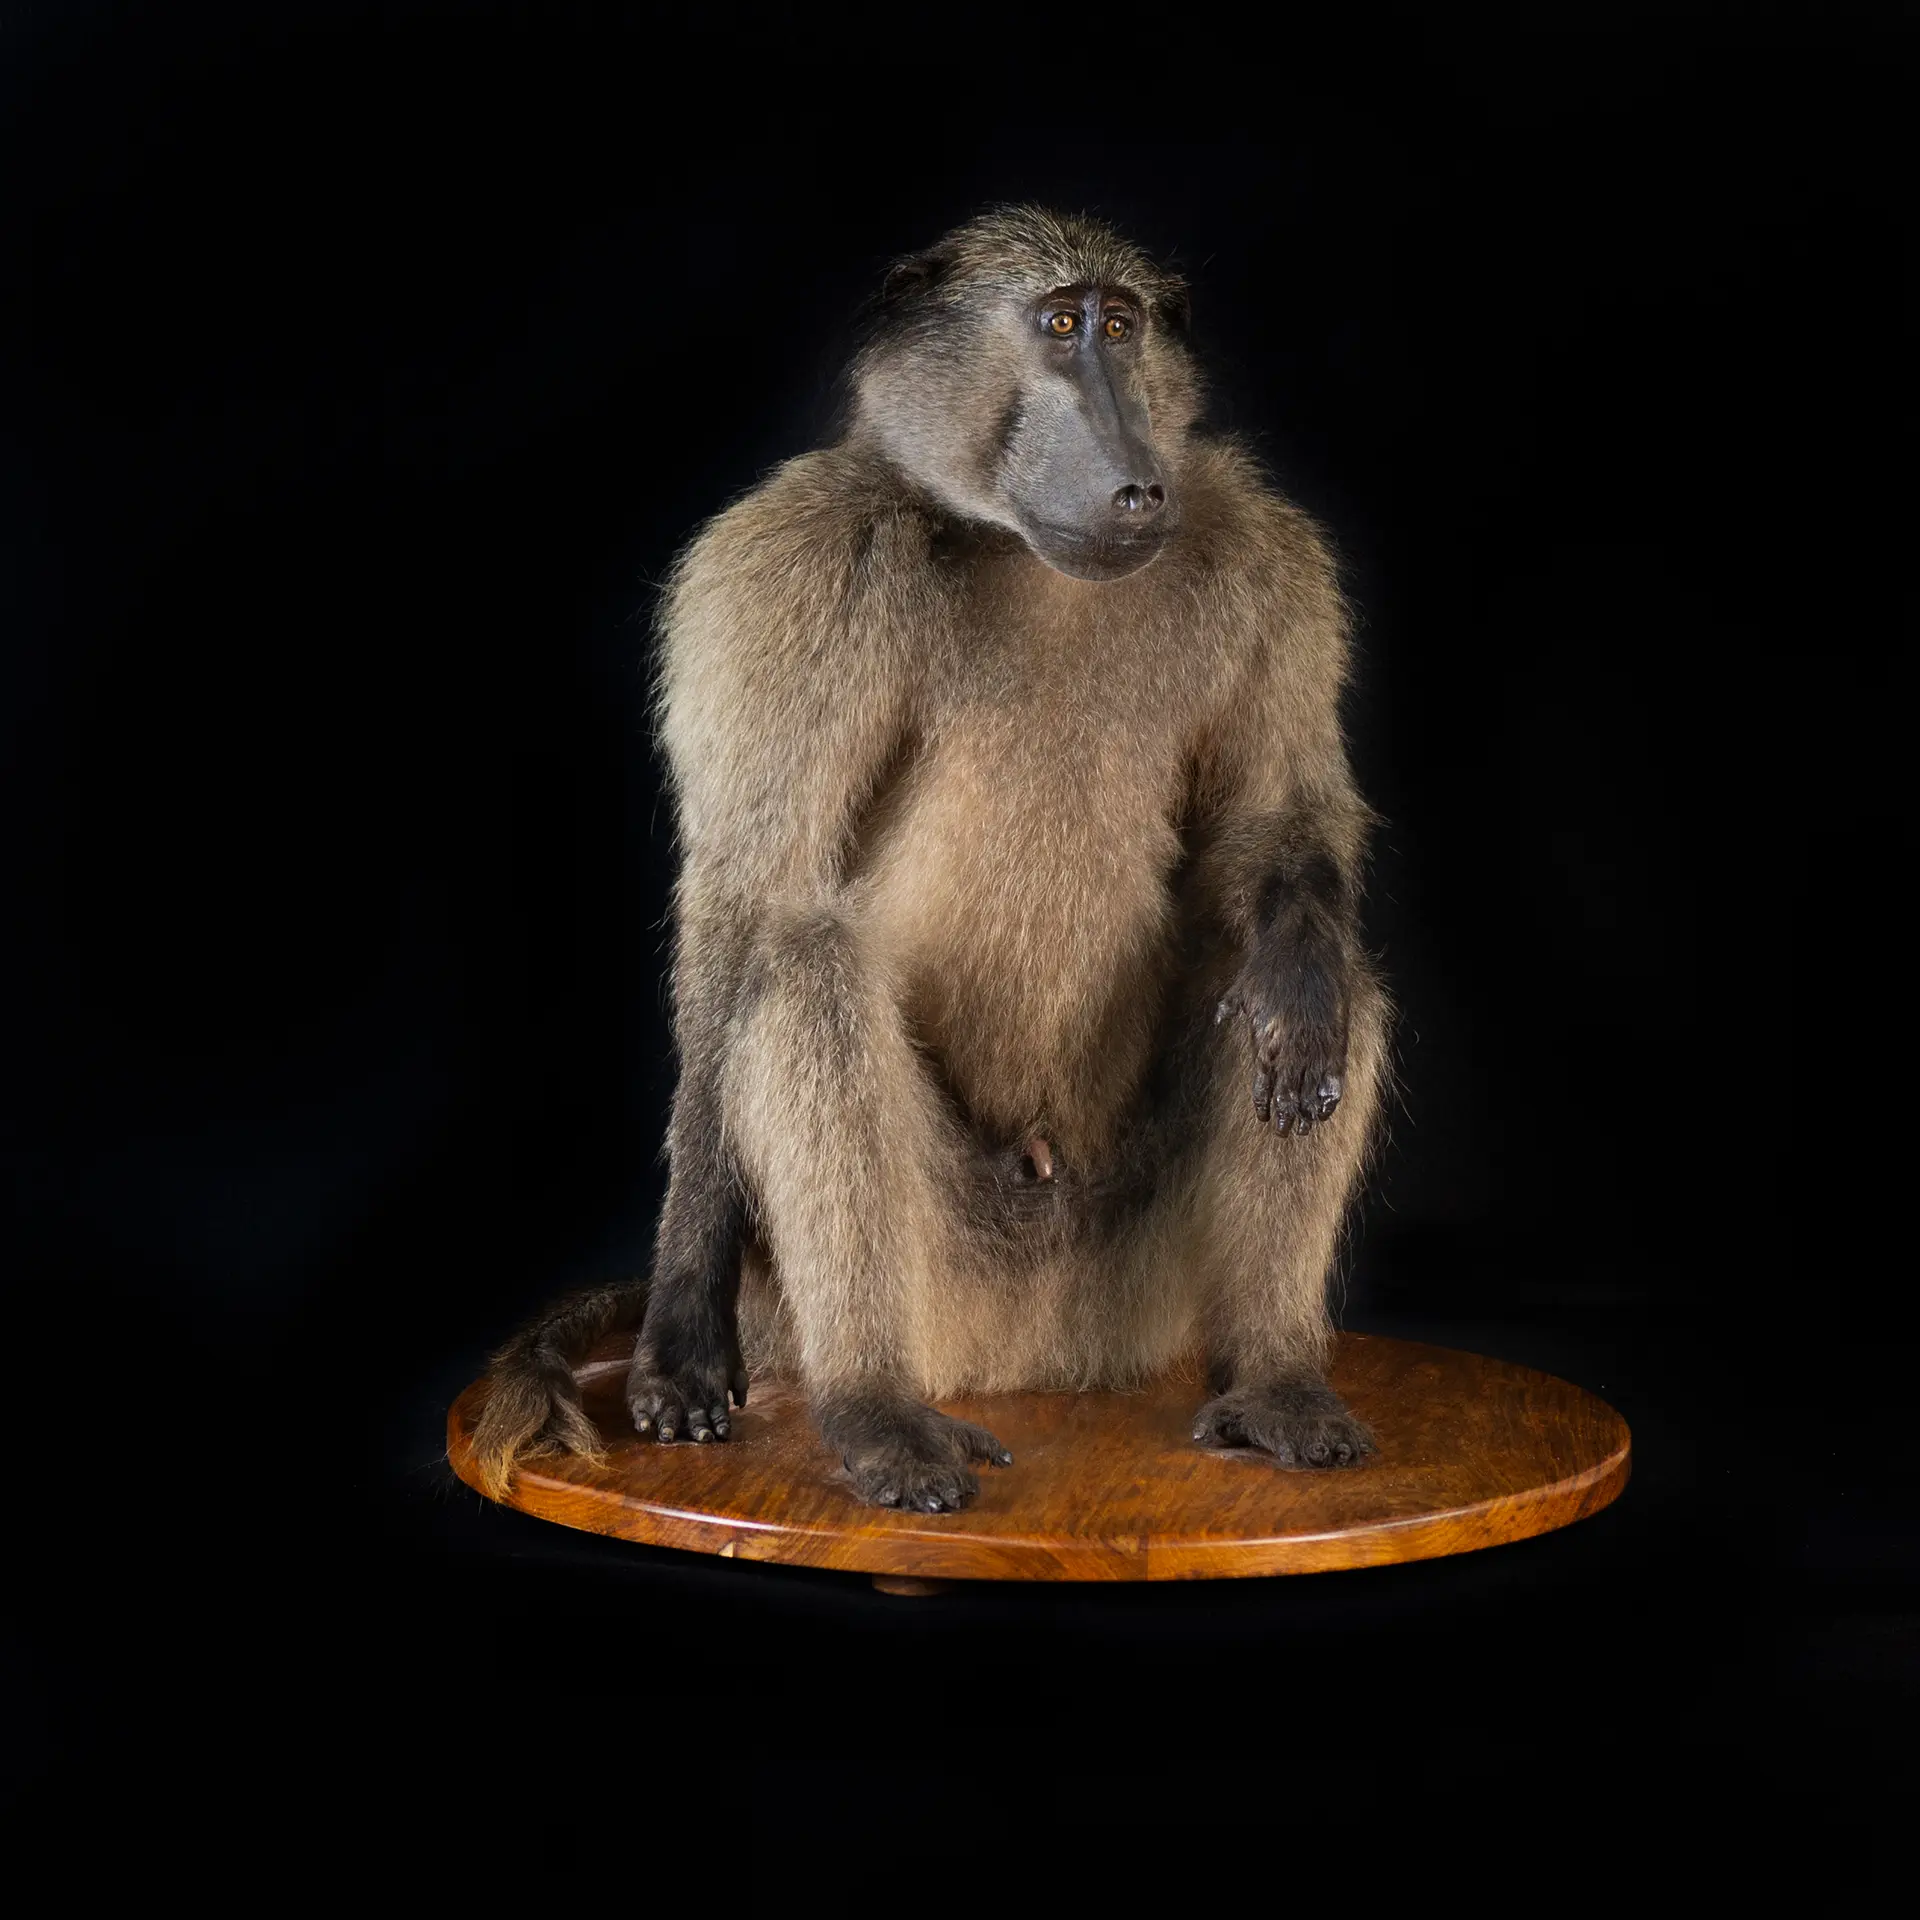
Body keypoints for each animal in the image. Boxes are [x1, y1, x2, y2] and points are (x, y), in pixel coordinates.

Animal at [472, 205, 1391, 1514]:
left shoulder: (1268, 558)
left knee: (1295, 978)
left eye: (1122, 325)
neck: (1011, 544)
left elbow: (1278, 829)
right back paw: (877, 1413)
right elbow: (751, 900)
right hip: (898, 1280)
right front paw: (682, 1332)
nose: (1136, 482)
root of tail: (1034, 1359)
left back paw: (1272, 1377)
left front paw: (1299, 982)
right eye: (1058, 324)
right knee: (805, 974)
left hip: (1135, 1282)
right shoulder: (790, 569)